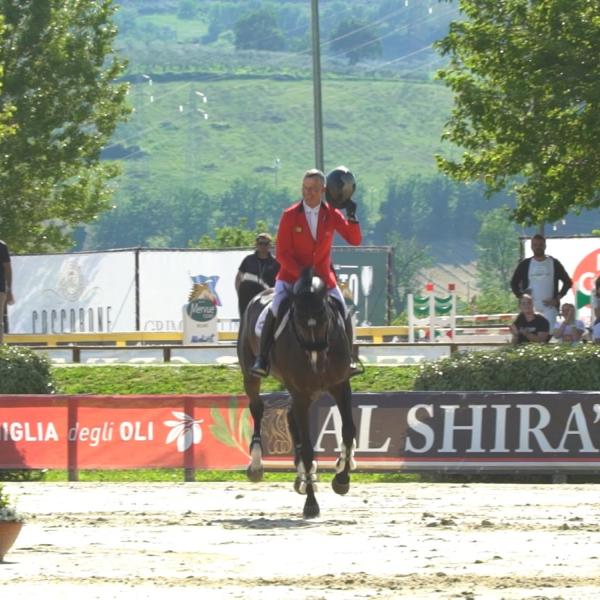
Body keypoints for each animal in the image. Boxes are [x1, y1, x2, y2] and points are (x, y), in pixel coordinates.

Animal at [236, 268, 356, 516]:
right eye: (298, 322)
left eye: (325, 317)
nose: (316, 361)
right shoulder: (300, 392)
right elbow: (309, 448)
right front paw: (311, 503)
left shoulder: (340, 386)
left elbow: (349, 431)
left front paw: (341, 478)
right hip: (252, 376)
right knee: (257, 408)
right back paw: (257, 464)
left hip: (309, 391)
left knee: (291, 418)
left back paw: (301, 477)